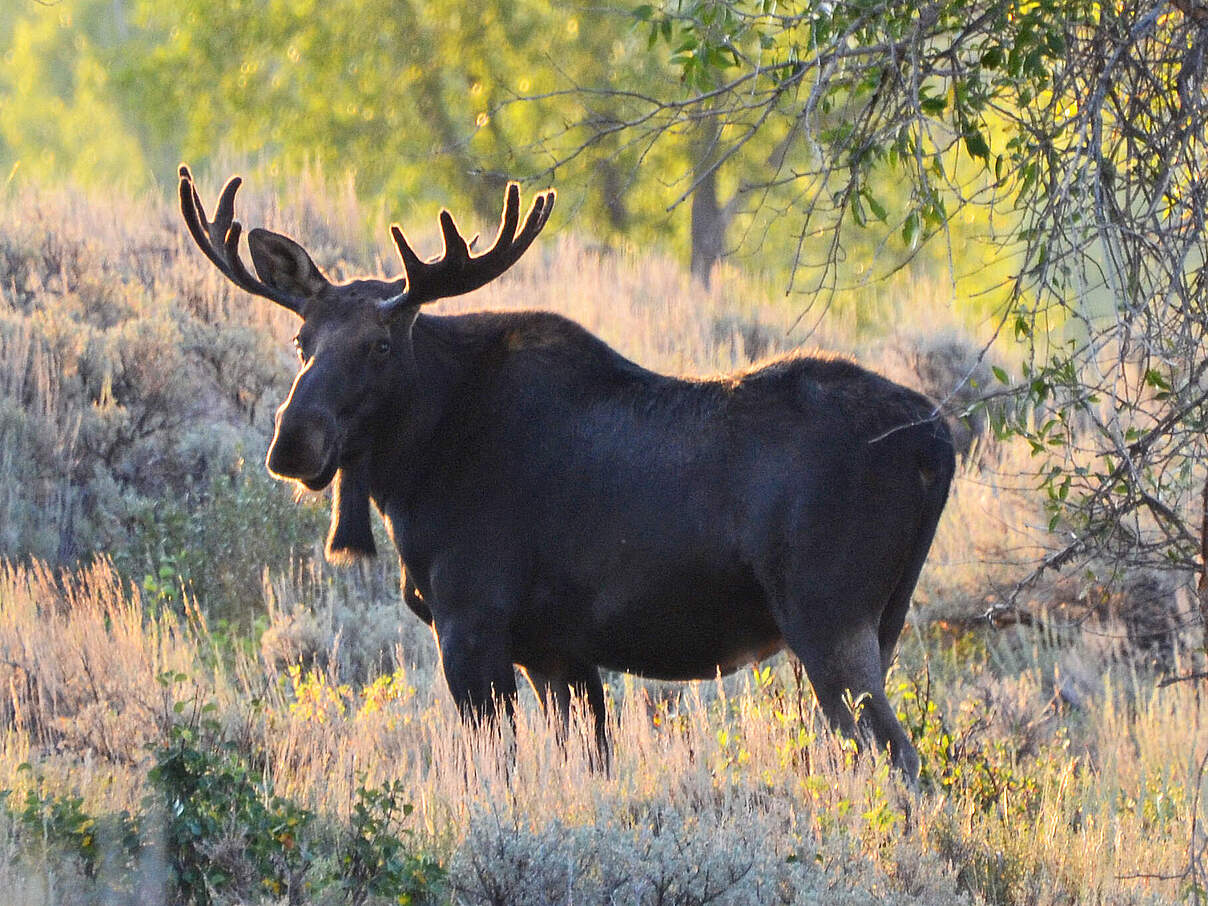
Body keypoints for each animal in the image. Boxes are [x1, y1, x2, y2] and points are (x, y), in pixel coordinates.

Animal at [178, 166, 951, 777]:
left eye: (380, 345)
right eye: (300, 339)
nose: (292, 443)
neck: (413, 473)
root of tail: (939, 441)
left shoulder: (472, 623)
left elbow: (498, 773)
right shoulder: (556, 651)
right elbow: (590, 764)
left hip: (827, 619)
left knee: (901, 760)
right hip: (879, 624)